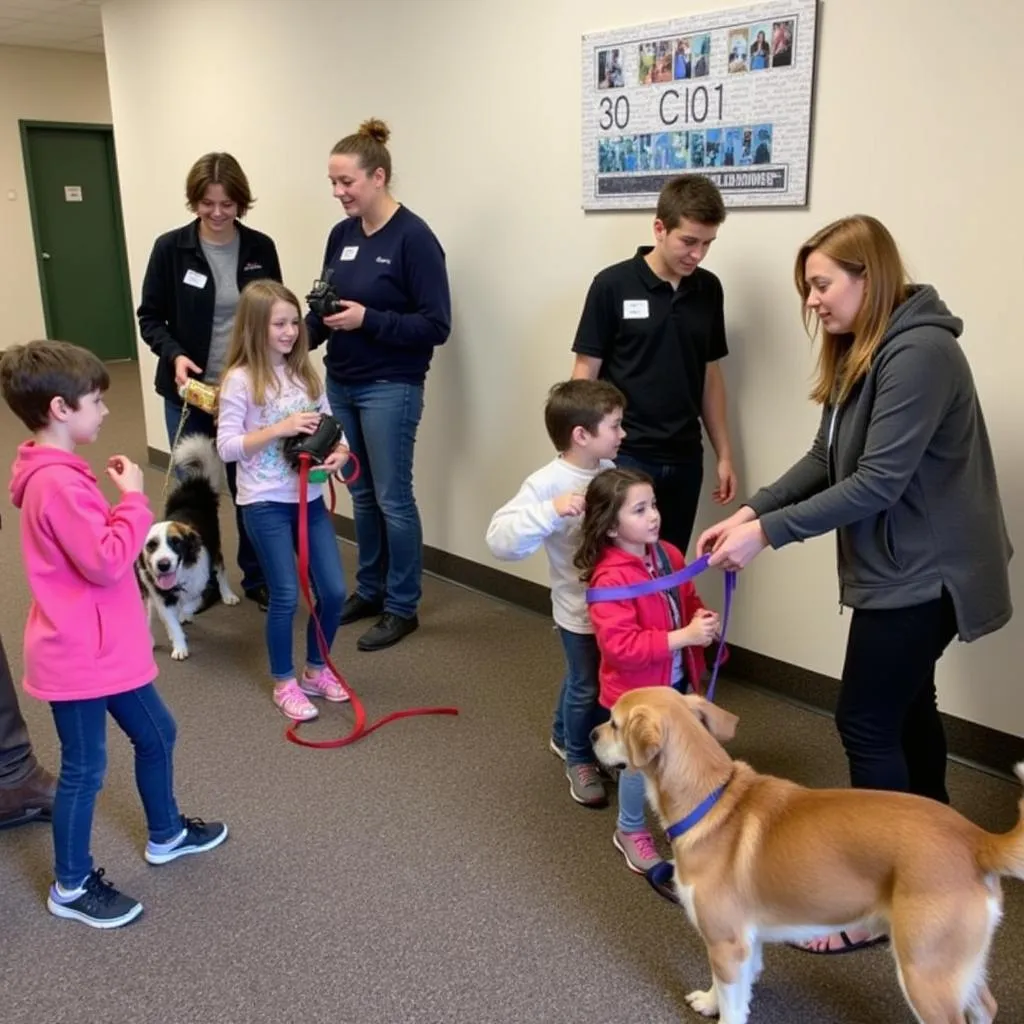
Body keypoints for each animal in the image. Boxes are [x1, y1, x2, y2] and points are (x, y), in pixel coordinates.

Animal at [136, 430, 239, 655]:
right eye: (151, 545)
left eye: (176, 542)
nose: (163, 564)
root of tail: (194, 488)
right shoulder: (159, 596)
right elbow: (170, 621)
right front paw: (179, 646)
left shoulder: (201, 583)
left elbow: (191, 603)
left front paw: (185, 614)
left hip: (215, 548)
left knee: (221, 571)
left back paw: (227, 595)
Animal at [589, 684, 1024, 1024]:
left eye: (614, 723)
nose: (592, 734)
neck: (710, 800)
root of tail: (976, 839)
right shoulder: (745, 942)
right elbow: (734, 989)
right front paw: (710, 1002)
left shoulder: (726, 943)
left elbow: (732, 1003)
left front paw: (720, 1008)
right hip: (958, 964)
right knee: (985, 1006)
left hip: (924, 971)